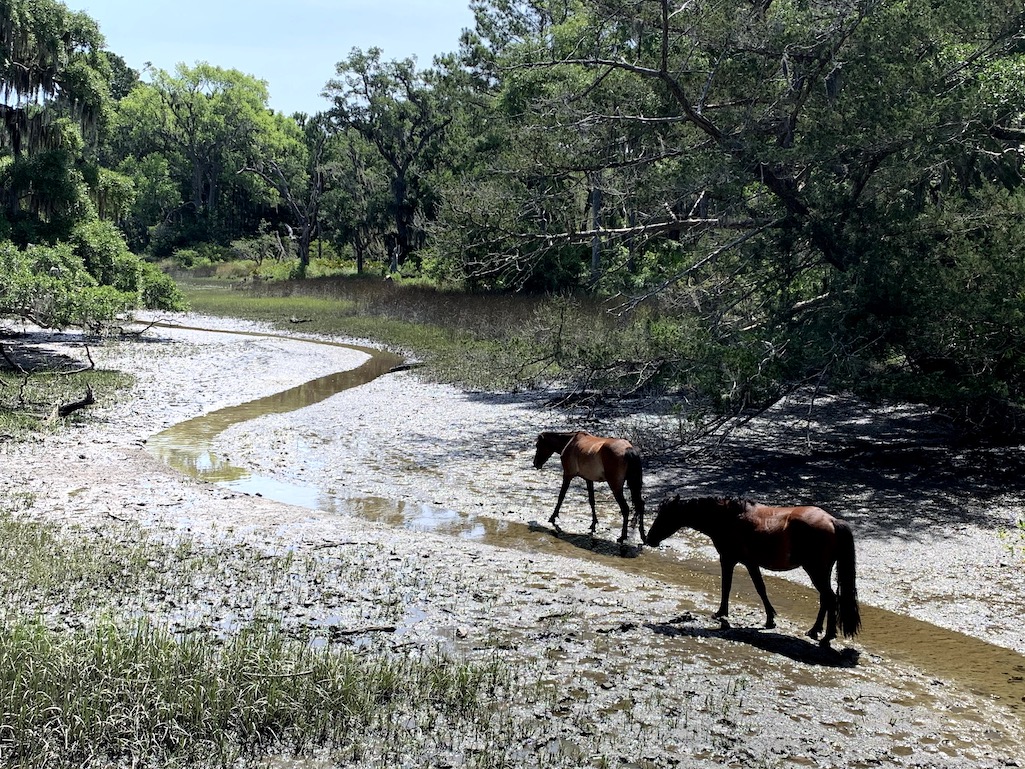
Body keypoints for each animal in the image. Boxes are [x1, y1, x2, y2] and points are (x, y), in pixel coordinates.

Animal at [645, 495, 861, 644]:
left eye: (665, 516)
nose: (649, 539)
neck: (729, 518)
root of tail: (832, 521)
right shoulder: (750, 563)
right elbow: (760, 589)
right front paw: (770, 619)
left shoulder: (729, 560)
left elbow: (728, 586)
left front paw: (721, 613)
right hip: (820, 572)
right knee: (826, 598)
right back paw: (815, 631)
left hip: (815, 570)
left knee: (830, 598)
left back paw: (826, 637)